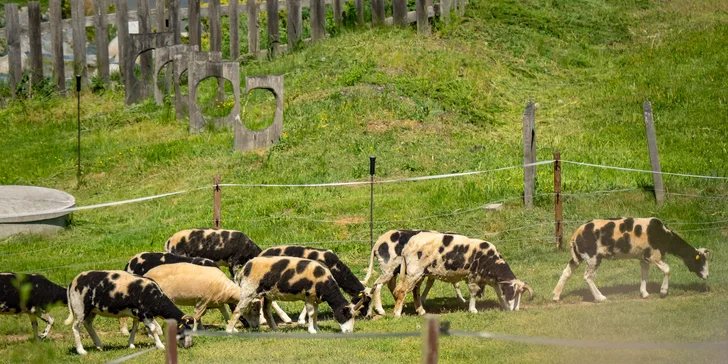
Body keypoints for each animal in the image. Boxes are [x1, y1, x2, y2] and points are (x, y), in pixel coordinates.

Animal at [64, 270, 193, 356]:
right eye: (184, 329)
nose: (189, 346)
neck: (157, 299)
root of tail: (72, 282)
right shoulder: (144, 314)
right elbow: (153, 329)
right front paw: (160, 346)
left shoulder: (138, 315)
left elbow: (136, 328)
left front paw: (131, 345)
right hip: (80, 308)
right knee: (75, 327)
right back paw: (81, 351)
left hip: (91, 310)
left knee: (88, 324)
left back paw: (99, 345)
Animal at [228, 256, 370, 332]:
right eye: (347, 315)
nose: (348, 332)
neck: (325, 284)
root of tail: (245, 268)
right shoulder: (309, 295)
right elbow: (311, 313)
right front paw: (312, 331)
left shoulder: (315, 298)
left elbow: (315, 313)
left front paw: (316, 328)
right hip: (249, 291)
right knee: (238, 309)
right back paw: (229, 330)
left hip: (267, 294)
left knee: (267, 311)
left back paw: (275, 329)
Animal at [392, 232, 536, 318]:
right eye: (512, 291)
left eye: (521, 293)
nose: (515, 309)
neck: (490, 260)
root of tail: (407, 247)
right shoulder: (472, 277)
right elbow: (473, 293)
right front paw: (473, 309)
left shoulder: (490, 279)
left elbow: (499, 293)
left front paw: (505, 307)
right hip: (414, 272)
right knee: (403, 291)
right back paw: (397, 313)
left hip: (420, 274)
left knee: (415, 291)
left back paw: (421, 311)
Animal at [552, 218, 712, 302]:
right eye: (700, 261)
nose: (707, 276)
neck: (666, 238)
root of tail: (575, 235)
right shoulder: (653, 255)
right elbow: (667, 269)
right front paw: (663, 292)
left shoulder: (643, 257)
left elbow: (644, 274)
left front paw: (644, 293)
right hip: (593, 257)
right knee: (588, 277)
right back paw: (600, 297)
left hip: (578, 256)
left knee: (566, 272)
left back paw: (556, 296)